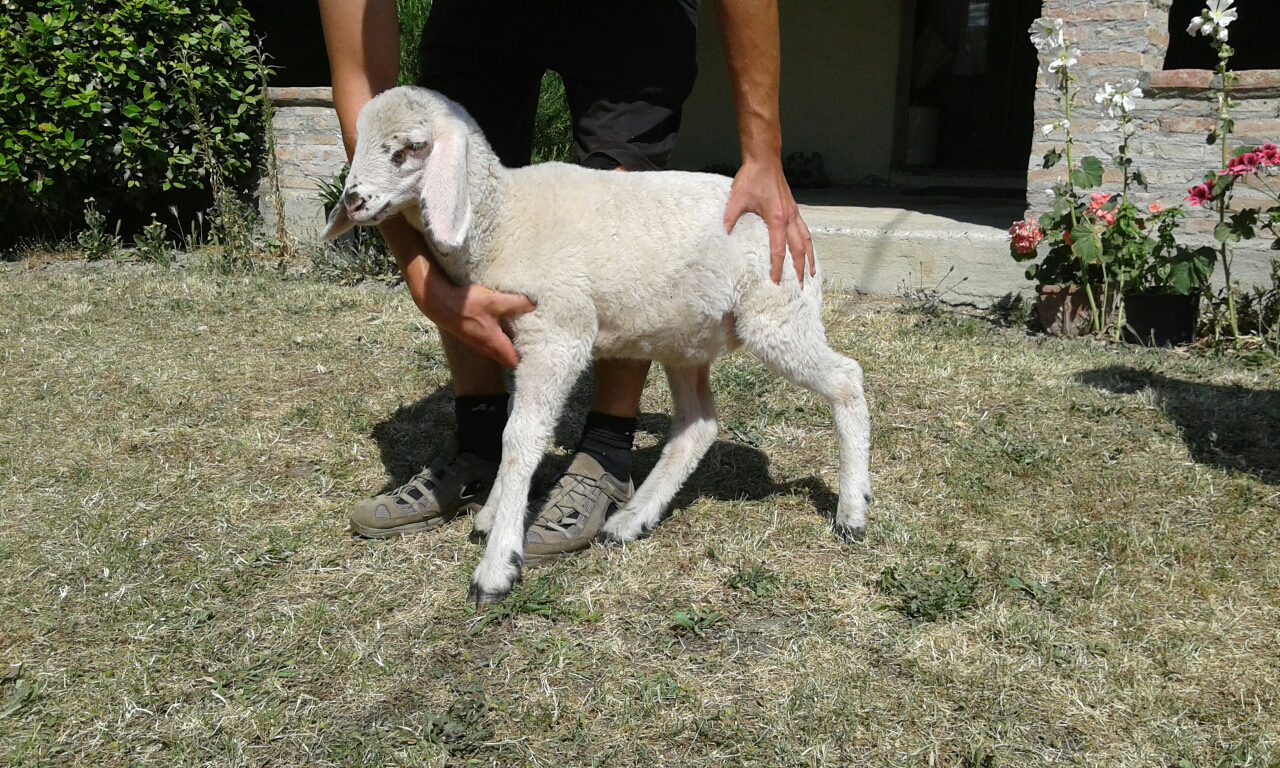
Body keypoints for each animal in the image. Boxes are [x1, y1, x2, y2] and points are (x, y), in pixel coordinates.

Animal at [322, 86, 872, 608]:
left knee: (846, 378)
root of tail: (795, 219)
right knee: (698, 425)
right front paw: (494, 513)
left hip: (778, 312)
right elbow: (513, 428)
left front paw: (497, 565)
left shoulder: (557, 333)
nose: (352, 201)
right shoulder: (518, 339)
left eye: (411, 148)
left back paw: (852, 510)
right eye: (357, 138)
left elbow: (521, 438)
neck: (503, 217)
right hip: (685, 337)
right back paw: (630, 520)